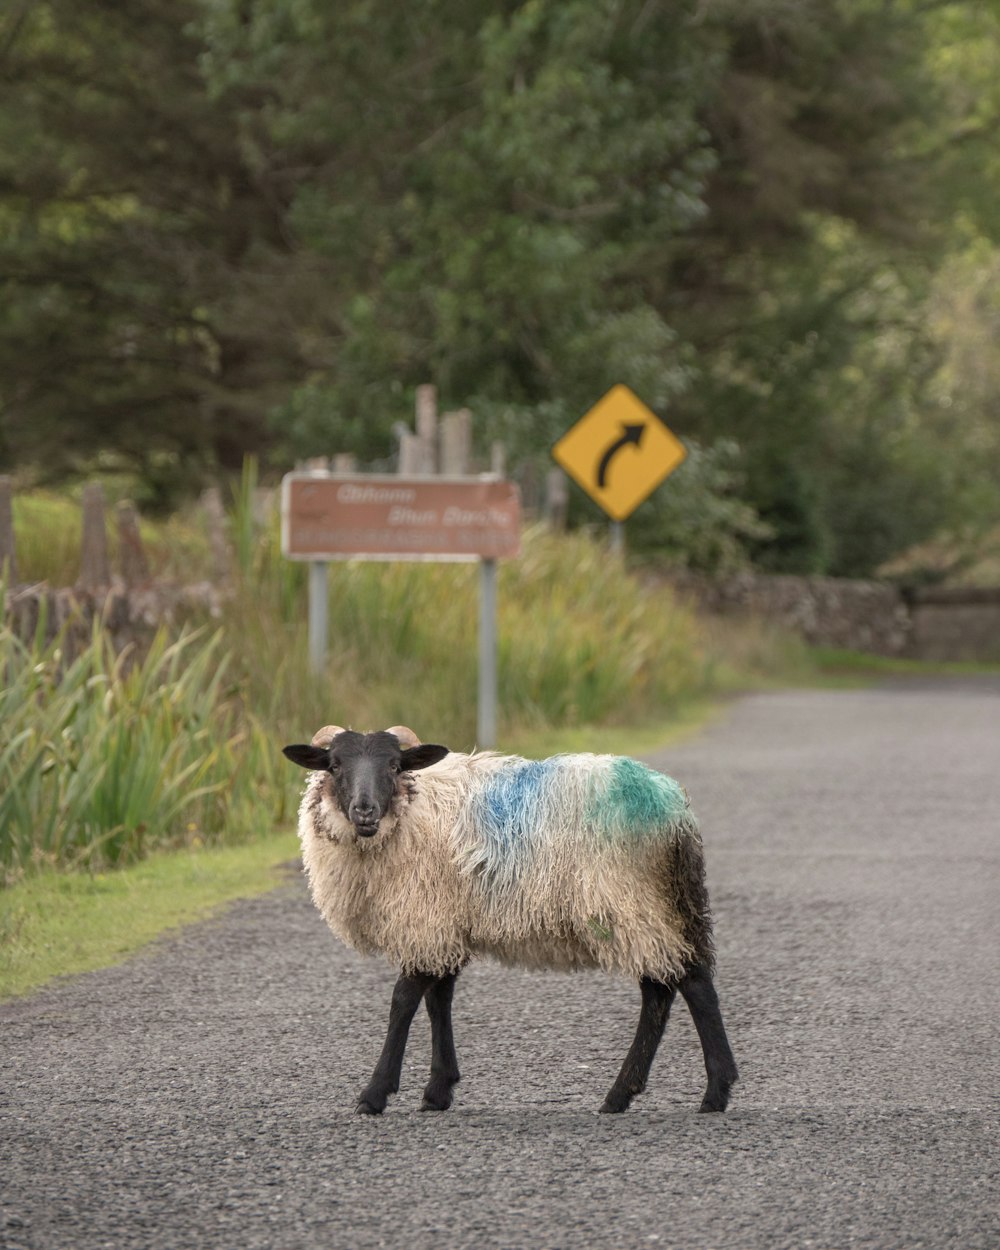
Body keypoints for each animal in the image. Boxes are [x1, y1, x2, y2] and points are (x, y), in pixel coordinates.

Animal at [281, 720, 735, 1120]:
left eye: (395, 765)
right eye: (334, 765)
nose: (365, 810)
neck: (410, 808)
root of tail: (672, 806)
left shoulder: (425, 918)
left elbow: (403, 1001)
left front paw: (375, 1094)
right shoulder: (445, 923)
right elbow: (438, 999)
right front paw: (438, 1090)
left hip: (629, 901)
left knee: (683, 984)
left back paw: (707, 1092)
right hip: (659, 901)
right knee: (671, 984)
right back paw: (637, 1093)